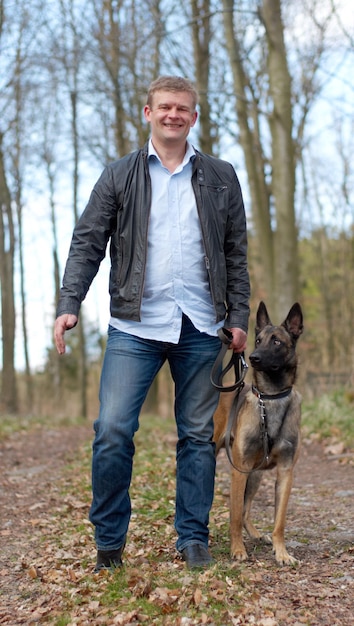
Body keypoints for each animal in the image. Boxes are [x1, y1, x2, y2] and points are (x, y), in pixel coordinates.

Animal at [213, 300, 304, 564]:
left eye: (277, 342)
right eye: (258, 340)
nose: (252, 357)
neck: (270, 398)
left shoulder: (285, 472)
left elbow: (279, 521)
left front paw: (282, 552)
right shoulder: (238, 470)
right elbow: (233, 516)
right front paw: (237, 549)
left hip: (255, 474)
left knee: (245, 510)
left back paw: (254, 533)